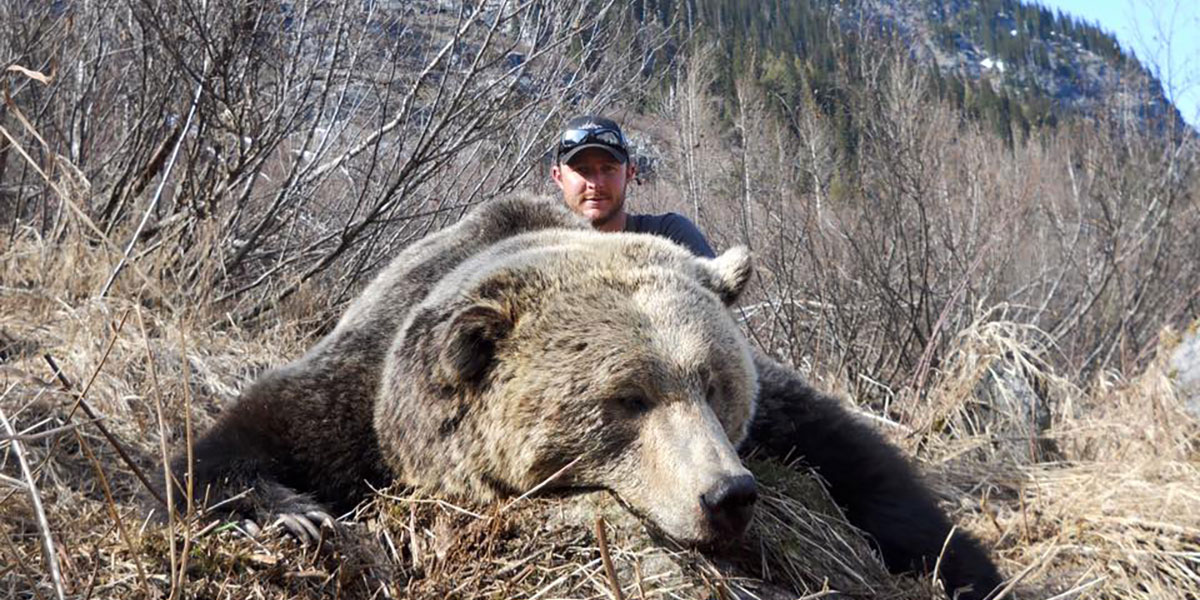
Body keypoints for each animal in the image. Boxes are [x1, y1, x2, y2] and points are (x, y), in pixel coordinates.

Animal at [162, 193, 1003, 600]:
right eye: (626, 399)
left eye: (714, 383)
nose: (726, 494)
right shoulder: (364, 389)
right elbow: (238, 443)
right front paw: (296, 515)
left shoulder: (776, 416)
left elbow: (862, 463)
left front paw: (964, 569)